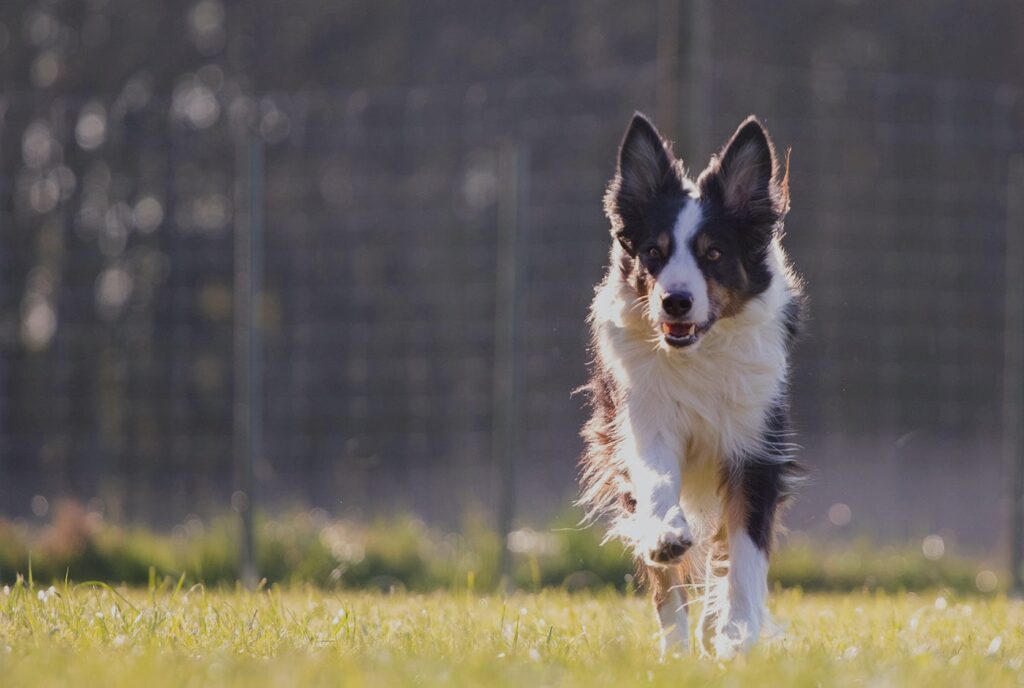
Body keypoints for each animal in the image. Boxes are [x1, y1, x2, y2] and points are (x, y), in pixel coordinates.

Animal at [581, 114, 802, 659]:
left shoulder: (754, 450)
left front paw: (737, 638)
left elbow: (742, 556)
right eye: (654, 253)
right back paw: (678, 647)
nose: (675, 302)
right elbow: (659, 489)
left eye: (714, 254)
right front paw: (666, 535)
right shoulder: (643, 421)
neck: (698, 354)